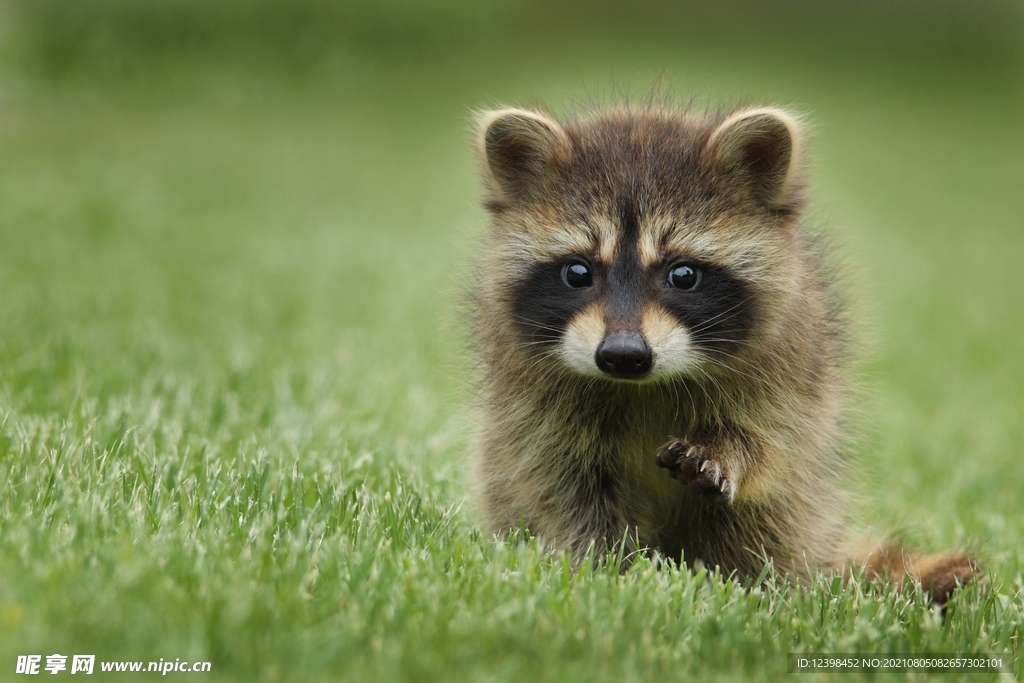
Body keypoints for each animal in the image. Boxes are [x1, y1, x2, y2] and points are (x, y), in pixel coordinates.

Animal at [468, 100, 978, 602]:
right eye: (578, 272)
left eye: (683, 275)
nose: (623, 355)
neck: (643, 386)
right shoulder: (531, 403)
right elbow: (562, 485)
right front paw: (607, 569)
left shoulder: (792, 361)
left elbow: (772, 440)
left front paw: (728, 450)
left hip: (801, 509)